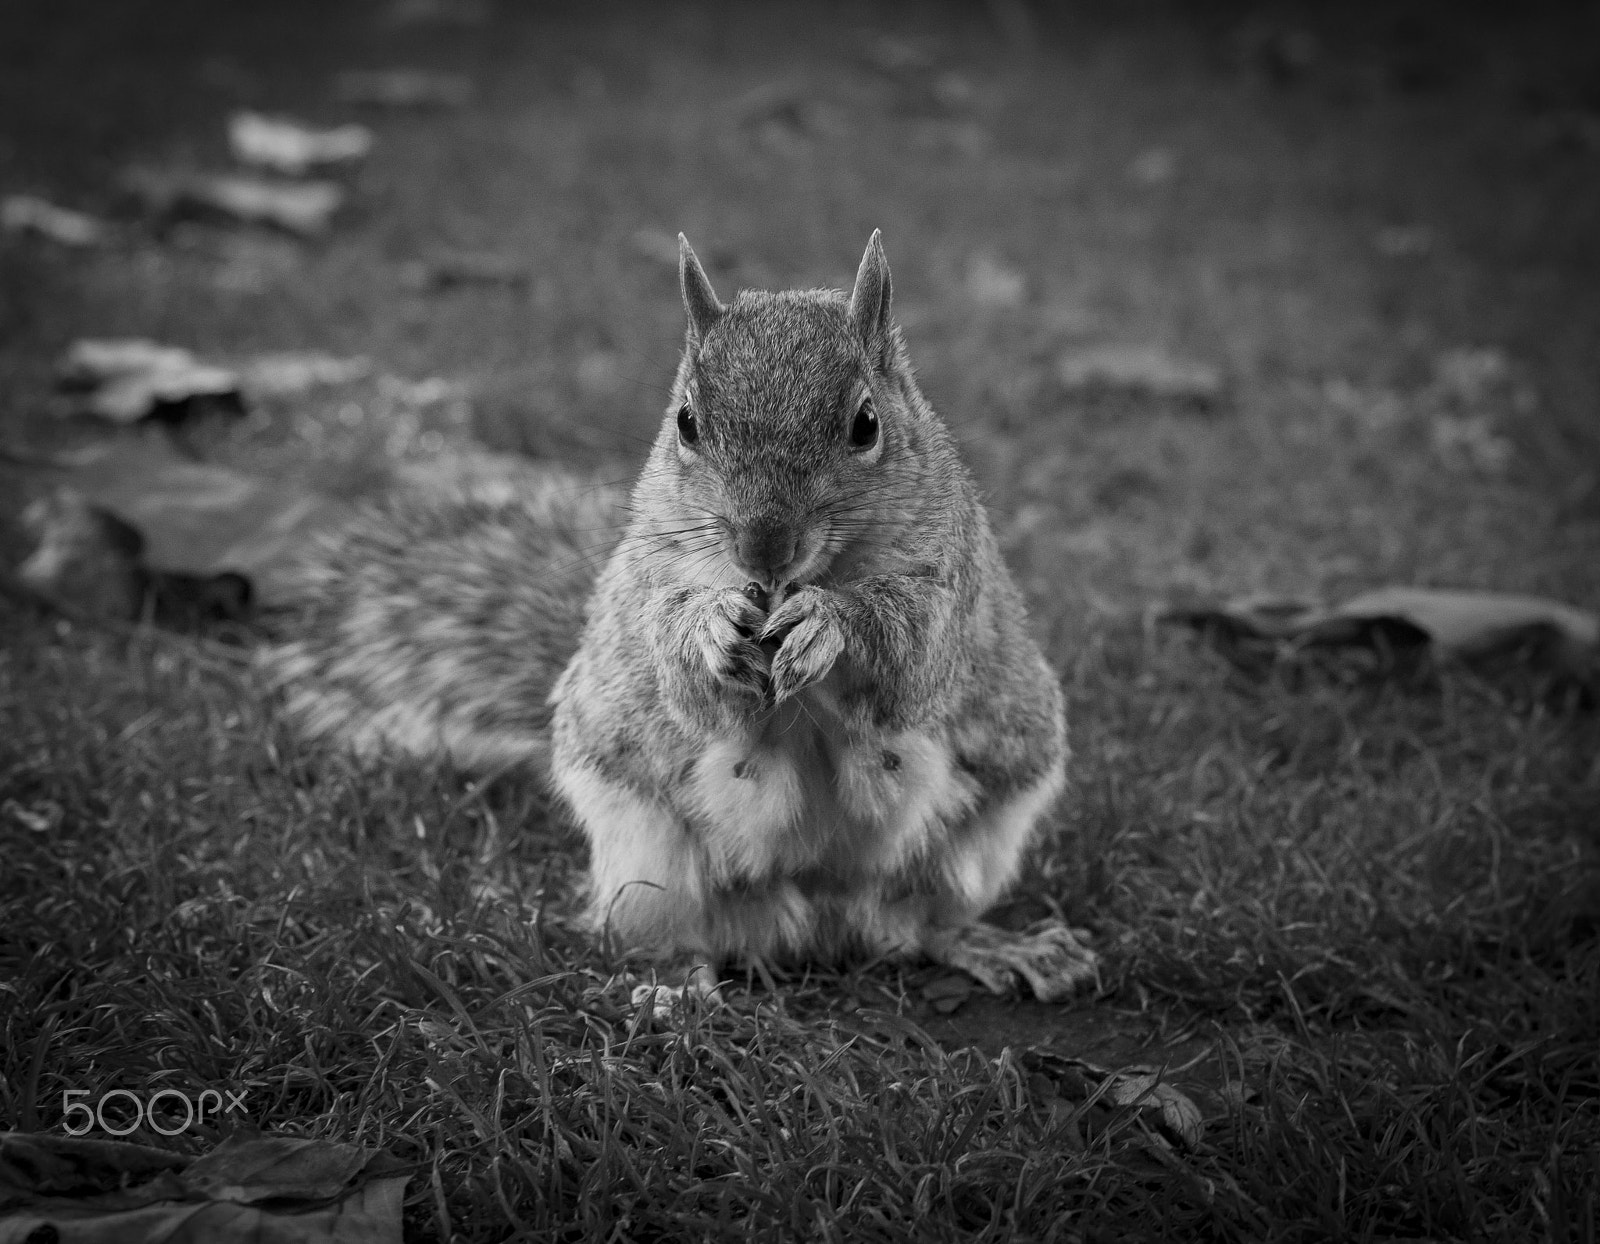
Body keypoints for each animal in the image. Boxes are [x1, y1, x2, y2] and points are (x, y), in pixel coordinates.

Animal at [265, 233, 1100, 1004]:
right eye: (687, 423)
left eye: (866, 424)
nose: (764, 548)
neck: (801, 578)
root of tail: (819, 917)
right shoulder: (652, 578)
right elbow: (681, 674)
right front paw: (709, 627)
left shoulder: (949, 578)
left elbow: (910, 658)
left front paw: (828, 623)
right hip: (646, 858)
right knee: (680, 936)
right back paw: (676, 985)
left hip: (980, 837)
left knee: (925, 926)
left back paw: (1003, 946)